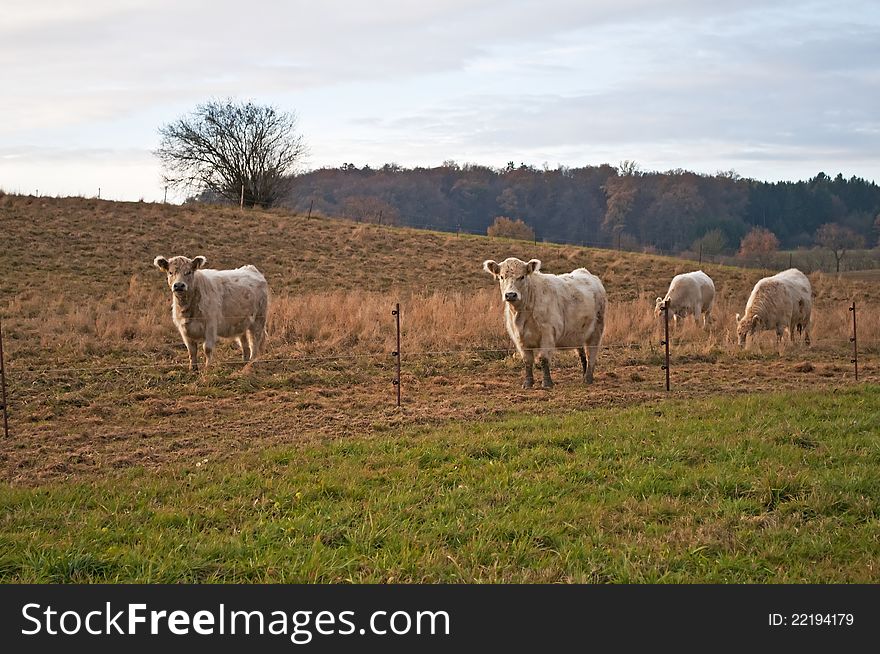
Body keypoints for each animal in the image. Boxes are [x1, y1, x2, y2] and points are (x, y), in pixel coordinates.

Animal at [482, 256, 604, 390]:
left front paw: (547, 383)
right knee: (582, 355)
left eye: (522, 276)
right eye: (501, 277)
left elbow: (543, 359)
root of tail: (585, 272)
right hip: (579, 333)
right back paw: (583, 376)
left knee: (591, 353)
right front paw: (528, 383)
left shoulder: (548, 334)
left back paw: (588, 378)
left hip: (597, 330)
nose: (510, 295)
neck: (522, 313)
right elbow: (527, 361)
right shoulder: (520, 338)